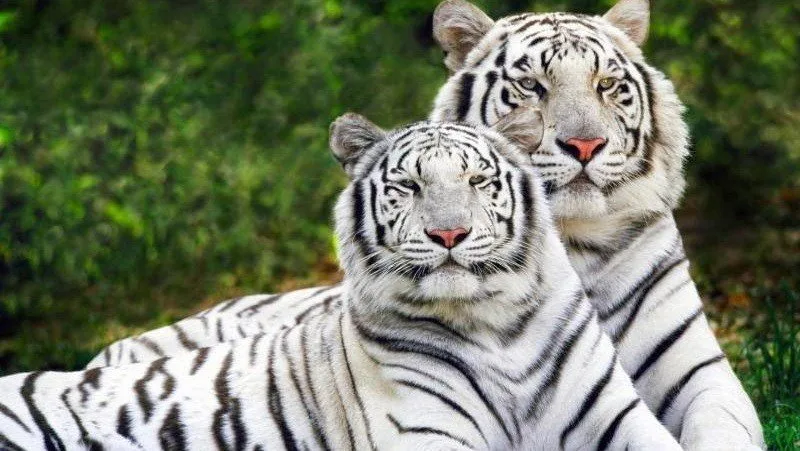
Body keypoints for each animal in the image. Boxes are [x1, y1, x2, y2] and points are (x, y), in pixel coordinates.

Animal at [0, 114, 683, 450]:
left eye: (477, 181)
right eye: (409, 185)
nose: (450, 235)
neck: (495, 325)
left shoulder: (616, 416)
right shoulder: (427, 437)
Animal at [86, 0, 764, 449]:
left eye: (608, 85)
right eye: (531, 86)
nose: (584, 145)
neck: (572, 243)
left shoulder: (699, 375)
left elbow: (724, 429)